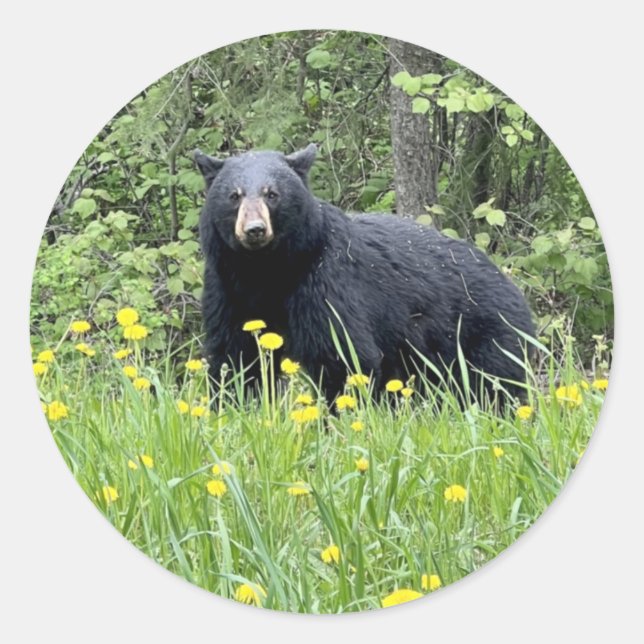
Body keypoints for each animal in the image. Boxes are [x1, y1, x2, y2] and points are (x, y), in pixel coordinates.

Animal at [194, 144, 535, 405]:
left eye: (272, 194)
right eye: (234, 195)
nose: (255, 230)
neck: (265, 270)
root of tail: (512, 287)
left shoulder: (326, 282)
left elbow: (342, 356)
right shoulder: (228, 288)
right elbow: (236, 356)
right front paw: (231, 407)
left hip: (485, 334)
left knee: (494, 386)